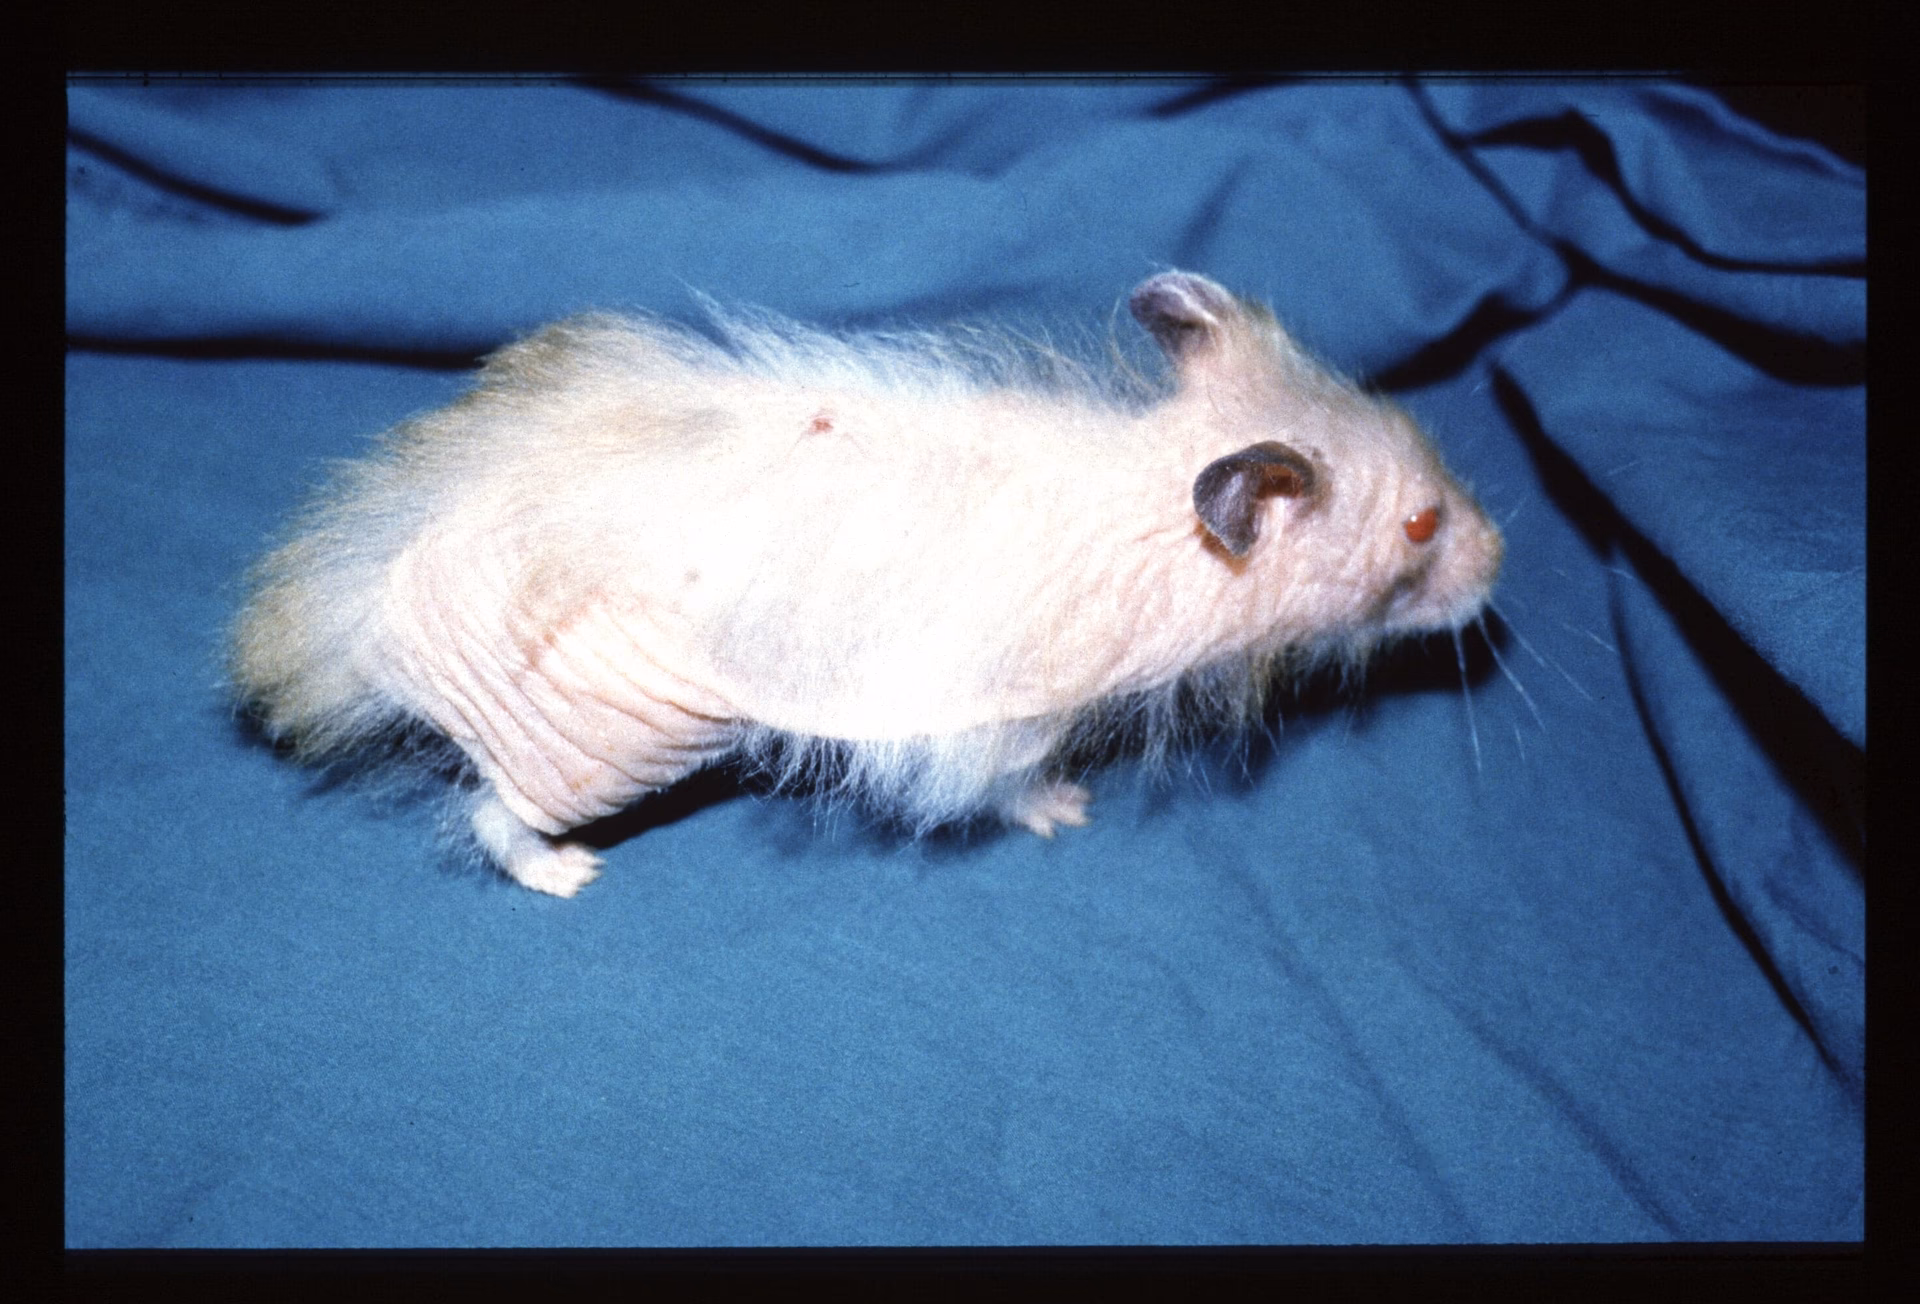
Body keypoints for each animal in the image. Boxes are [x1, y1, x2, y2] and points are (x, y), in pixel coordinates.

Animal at [230, 272, 1503, 897]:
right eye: (1420, 523)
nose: (1504, 556)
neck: (1163, 513)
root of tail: (358, 623)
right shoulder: (1000, 719)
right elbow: (1014, 784)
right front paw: (1069, 810)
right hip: (601, 742)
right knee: (496, 813)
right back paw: (570, 877)